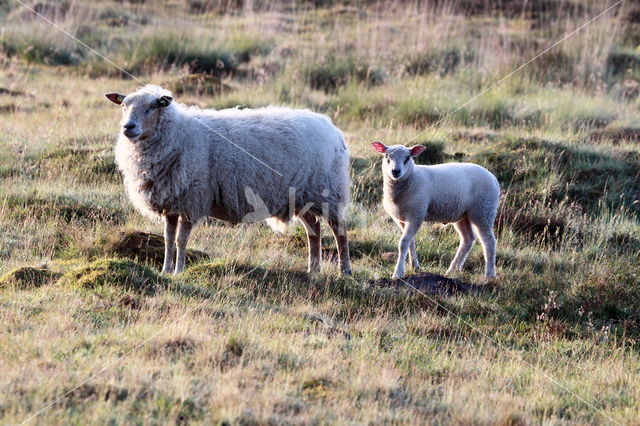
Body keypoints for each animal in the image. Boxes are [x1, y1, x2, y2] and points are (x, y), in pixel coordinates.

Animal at [107, 85, 352, 276]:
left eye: (152, 107)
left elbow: (180, 240)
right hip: (303, 196)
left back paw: (344, 270)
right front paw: (165, 270)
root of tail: (333, 130)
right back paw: (313, 270)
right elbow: (167, 239)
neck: (176, 133)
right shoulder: (172, 201)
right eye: (123, 106)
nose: (128, 127)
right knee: (314, 229)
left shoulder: (192, 199)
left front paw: (178, 271)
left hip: (327, 190)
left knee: (338, 229)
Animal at [370, 143, 500, 282]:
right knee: (468, 239)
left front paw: (398, 273)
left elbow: (403, 243)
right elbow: (411, 242)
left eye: (407, 158)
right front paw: (414, 266)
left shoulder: (416, 214)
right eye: (387, 157)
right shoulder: (401, 218)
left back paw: (489, 275)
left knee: (489, 241)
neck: (411, 178)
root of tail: (493, 178)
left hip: (483, 211)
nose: (395, 171)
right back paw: (451, 270)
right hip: (462, 215)